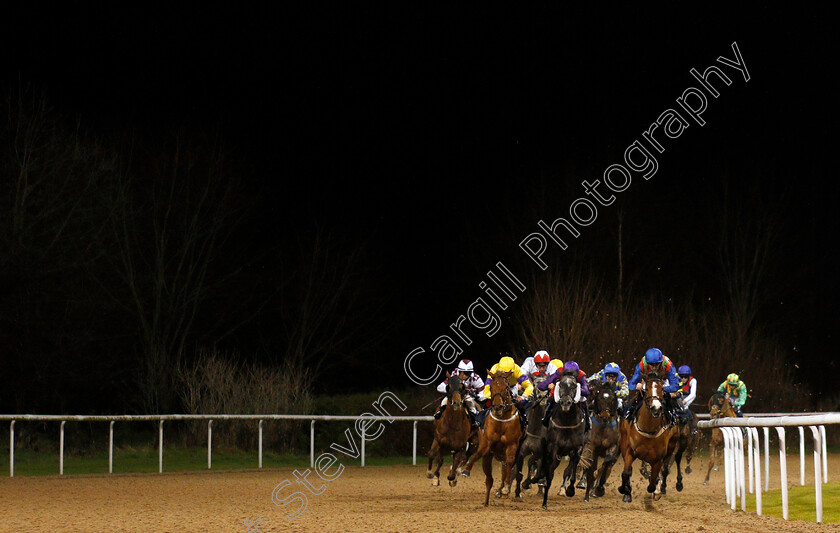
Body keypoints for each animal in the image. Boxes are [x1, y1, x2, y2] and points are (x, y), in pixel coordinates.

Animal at [460, 368, 520, 504]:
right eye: (491, 387)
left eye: (506, 387)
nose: (498, 406)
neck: (502, 419)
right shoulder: (487, 442)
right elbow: (478, 454)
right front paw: (464, 470)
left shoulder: (512, 444)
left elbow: (509, 463)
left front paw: (505, 489)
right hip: (488, 458)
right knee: (489, 480)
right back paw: (486, 502)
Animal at [540, 372, 584, 510]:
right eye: (560, 384)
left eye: (574, 386)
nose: (565, 402)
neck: (567, 422)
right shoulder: (553, 448)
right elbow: (549, 474)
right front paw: (544, 502)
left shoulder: (577, 448)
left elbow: (572, 470)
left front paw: (570, 490)